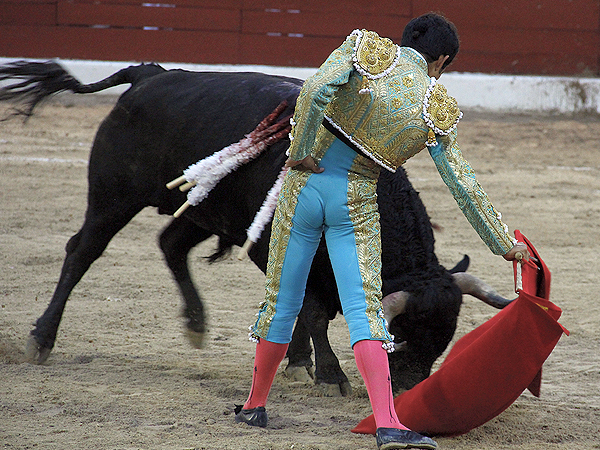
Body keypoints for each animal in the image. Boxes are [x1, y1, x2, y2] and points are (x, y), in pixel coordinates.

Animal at [0, 62, 510, 394]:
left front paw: (298, 362)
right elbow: (310, 307)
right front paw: (328, 373)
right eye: (403, 335)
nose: (408, 389)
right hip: (113, 196)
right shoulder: (270, 246)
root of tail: (151, 75)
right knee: (82, 251)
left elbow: (305, 304)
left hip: (206, 208)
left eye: (443, 341)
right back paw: (41, 339)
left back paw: (197, 323)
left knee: (170, 243)